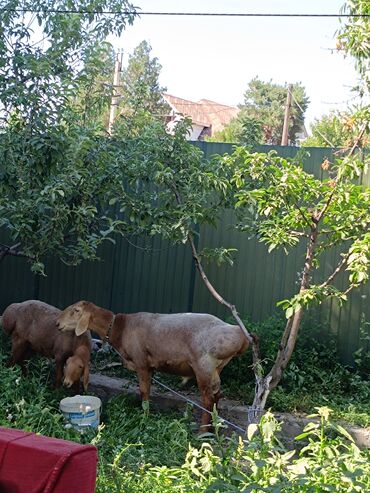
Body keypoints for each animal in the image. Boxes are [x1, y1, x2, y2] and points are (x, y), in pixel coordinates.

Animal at [57, 298, 249, 428]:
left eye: (76, 310)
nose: (58, 323)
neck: (120, 328)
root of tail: (238, 333)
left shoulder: (141, 362)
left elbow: (144, 391)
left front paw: (144, 417)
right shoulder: (150, 366)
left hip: (203, 366)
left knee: (208, 399)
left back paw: (202, 431)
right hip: (216, 368)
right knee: (217, 395)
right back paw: (213, 428)